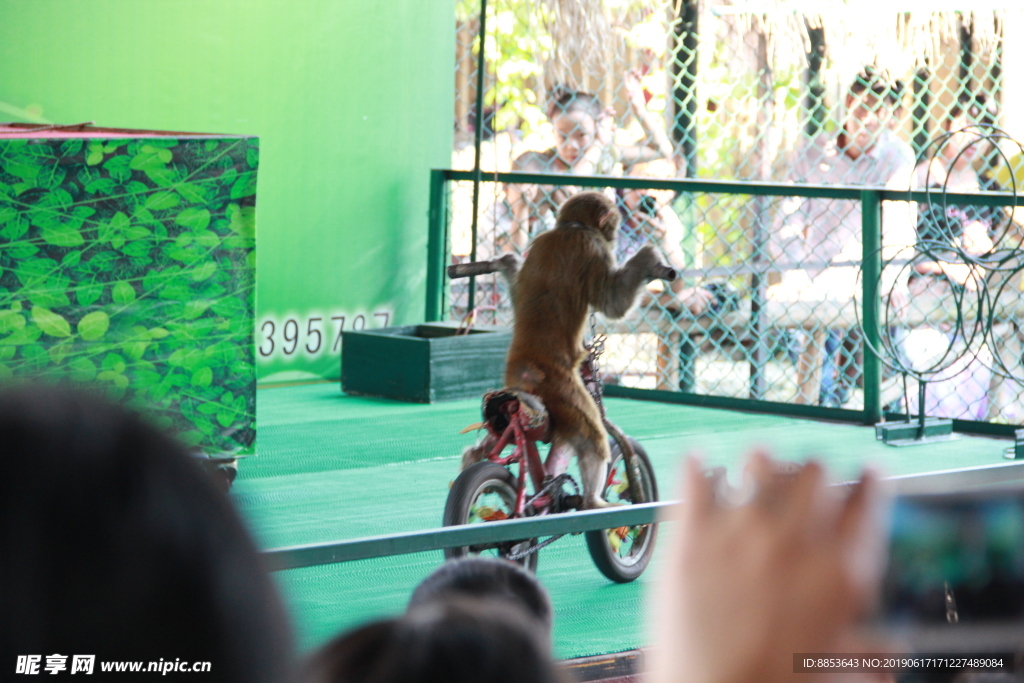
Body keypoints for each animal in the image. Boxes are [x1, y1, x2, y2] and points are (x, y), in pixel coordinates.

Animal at [464, 189, 671, 509]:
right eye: (613, 225)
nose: (614, 234)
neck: (570, 228)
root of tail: (524, 373)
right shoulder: (593, 246)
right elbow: (612, 303)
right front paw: (647, 260)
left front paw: (508, 265)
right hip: (560, 389)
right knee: (592, 437)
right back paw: (592, 501)